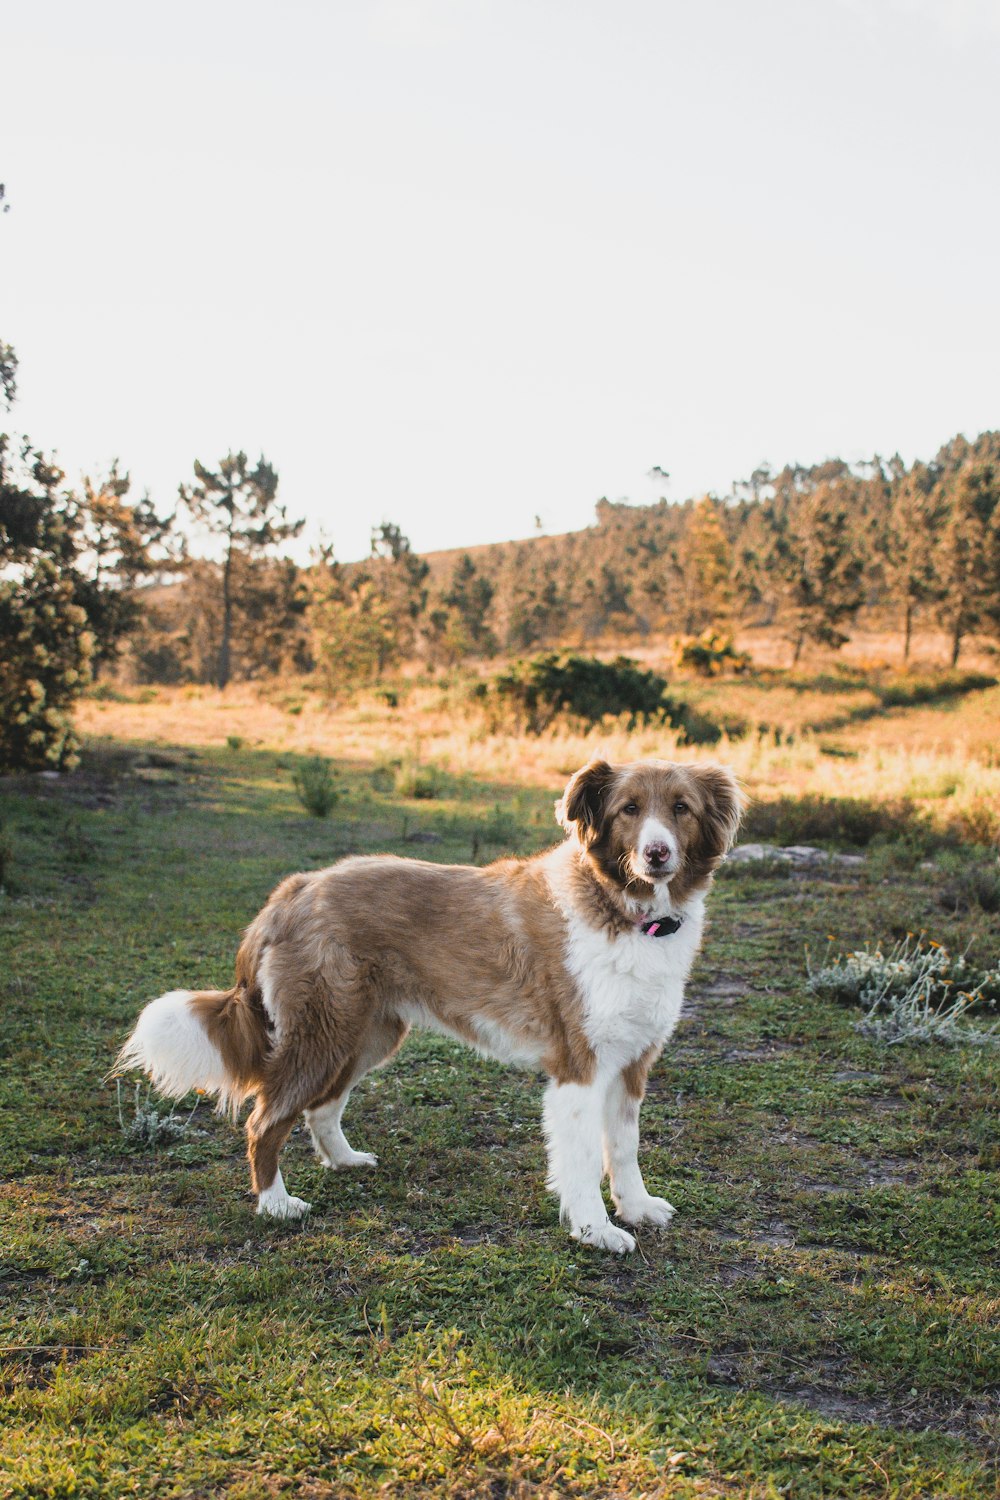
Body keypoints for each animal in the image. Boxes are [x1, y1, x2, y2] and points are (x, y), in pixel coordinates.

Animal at [119, 762, 743, 1254]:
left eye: (681, 808)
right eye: (629, 809)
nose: (656, 854)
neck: (624, 910)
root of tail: (295, 888)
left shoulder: (632, 1062)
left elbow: (626, 1146)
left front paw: (635, 1208)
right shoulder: (579, 1068)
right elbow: (587, 1158)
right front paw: (595, 1231)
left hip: (366, 1035)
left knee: (320, 1108)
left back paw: (343, 1160)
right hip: (322, 1035)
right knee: (265, 1119)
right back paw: (275, 1203)